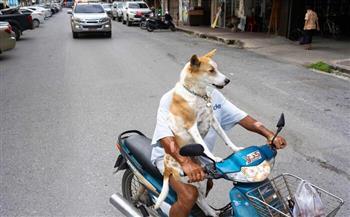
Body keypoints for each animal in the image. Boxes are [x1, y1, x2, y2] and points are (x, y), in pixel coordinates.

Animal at [155, 49, 241, 217]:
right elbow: (203, 145)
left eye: (217, 68)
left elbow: (226, 137)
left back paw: (212, 212)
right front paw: (215, 157)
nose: (227, 80)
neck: (197, 94)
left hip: (202, 179)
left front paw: (236, 149)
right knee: (197, 198)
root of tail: (167, 168)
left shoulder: (212, 120)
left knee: (201, 199)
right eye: (211, 70)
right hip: (187, 178)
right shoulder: (192, 127)